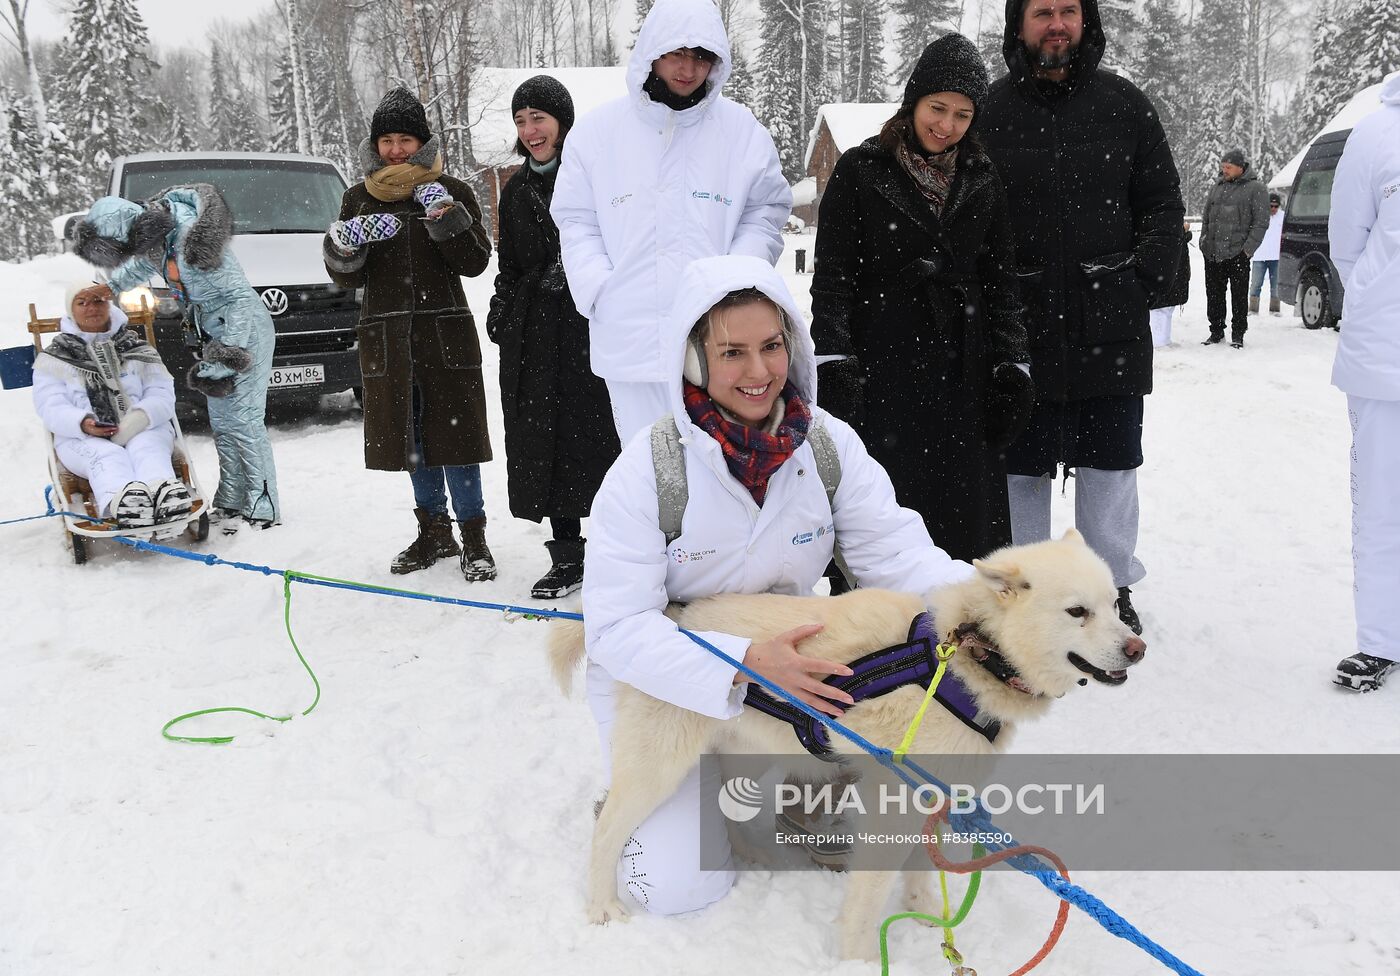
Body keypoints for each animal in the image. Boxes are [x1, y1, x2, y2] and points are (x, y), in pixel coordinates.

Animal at [540, 529, 1142, 957]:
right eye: (1077, 612)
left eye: (1114, 605)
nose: (1137, 648)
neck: (965, 661)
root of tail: (675, 616)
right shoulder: (894, 806)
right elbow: (868, 899)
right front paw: (859, 959)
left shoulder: (933, 795)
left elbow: (920, 869)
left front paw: (924, 915)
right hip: (659, 767)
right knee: (607, 831)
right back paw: (602, 906)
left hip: (750, 755)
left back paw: (754, 854)